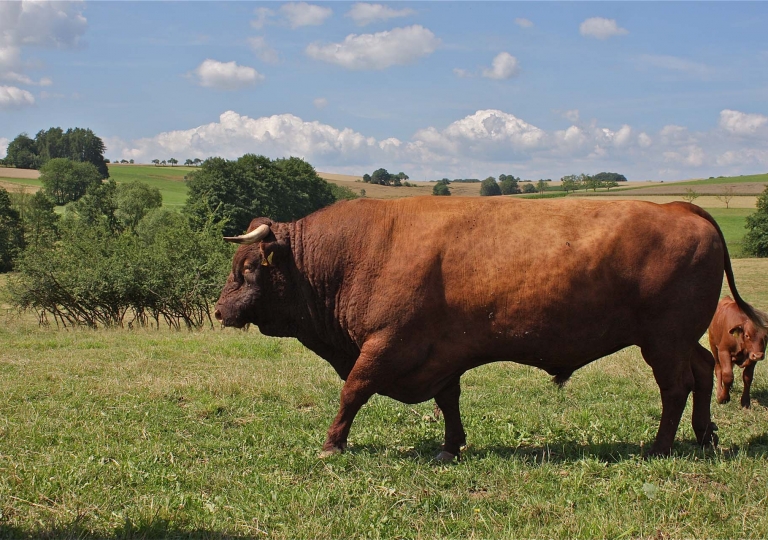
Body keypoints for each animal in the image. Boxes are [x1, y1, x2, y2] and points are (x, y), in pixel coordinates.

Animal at [213, 196, 764, 458]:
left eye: (249, 267)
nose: (219, 311)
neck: (354, 251)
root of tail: (680, 207)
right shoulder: (439, 353)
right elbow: (448, 400)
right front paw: (451, 446)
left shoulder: (384, 345)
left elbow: (353, 391)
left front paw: (332, 444)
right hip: (680, 340)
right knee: (701, 374)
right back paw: (705, 434)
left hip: (662, 342)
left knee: (675, 387)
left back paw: (660, 447)